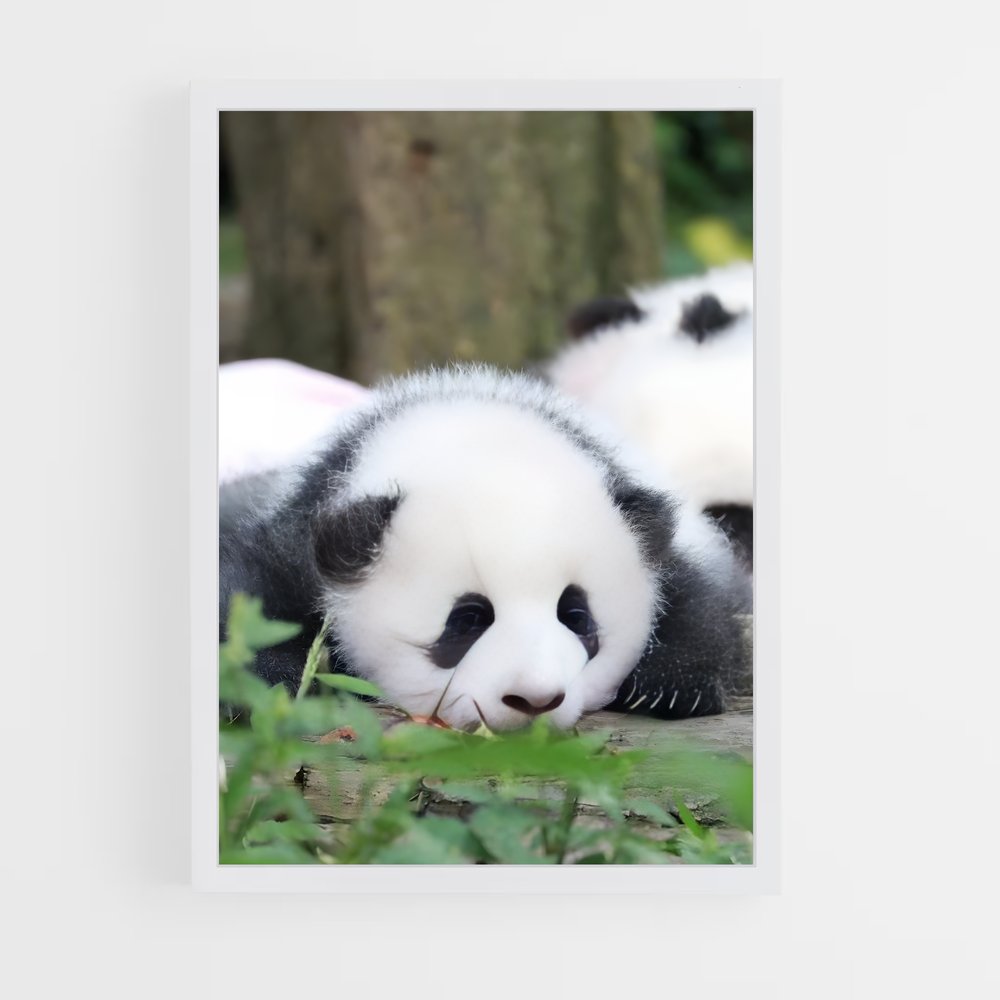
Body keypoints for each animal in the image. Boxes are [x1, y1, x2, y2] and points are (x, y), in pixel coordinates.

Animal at [220, 365, 750, 732]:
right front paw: (275, 681)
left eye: (576, 616)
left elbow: (697, 593)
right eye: (468, 620)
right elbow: (249, 600)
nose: (533, 700)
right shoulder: (300, 525)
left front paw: (672, 686)